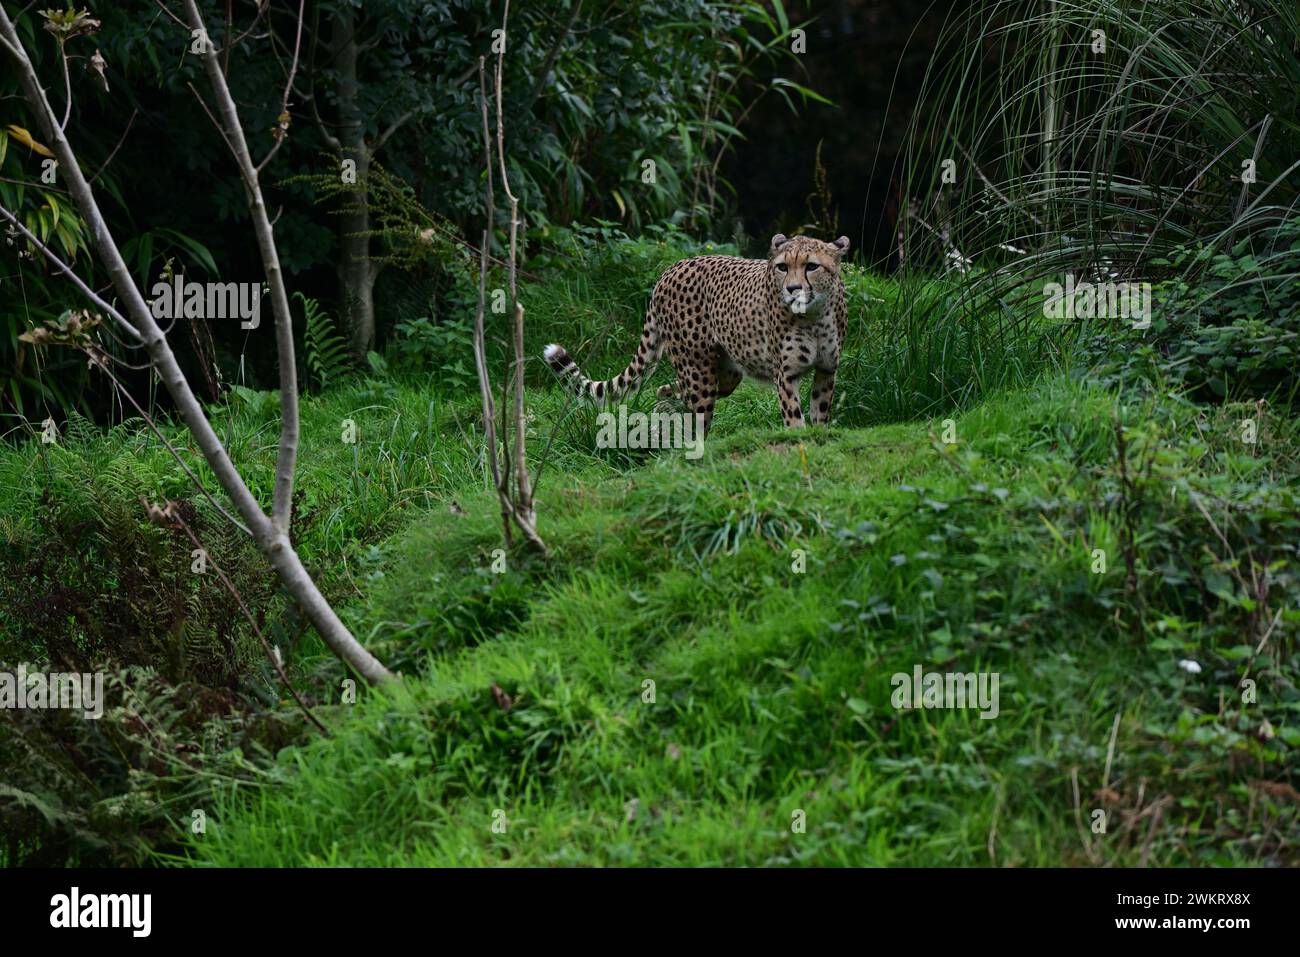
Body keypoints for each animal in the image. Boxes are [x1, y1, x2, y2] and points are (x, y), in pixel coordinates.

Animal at [543, 233, 850, 435]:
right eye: (783, 267)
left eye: (812, 266)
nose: (792, 289)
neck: (814, 317)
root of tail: (671, 268)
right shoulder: (785, 374)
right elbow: (794, 416)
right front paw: (799, 442)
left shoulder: (827, 369)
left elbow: (820, 410)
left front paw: (819, 437)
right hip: (698, 369)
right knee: (696, 415)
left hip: (725, 375)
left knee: (669, 390)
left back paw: (663, 411)